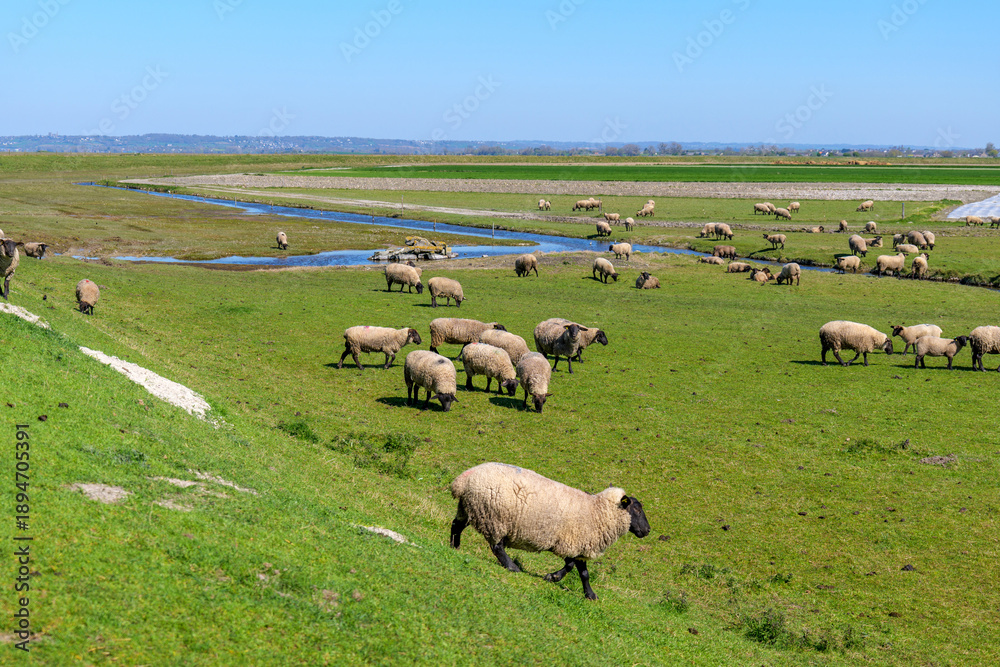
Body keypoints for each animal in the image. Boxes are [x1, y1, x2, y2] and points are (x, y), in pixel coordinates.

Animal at [448, 462, 650, 599]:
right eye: (637, 509)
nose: (647, 530)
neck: (597, 510)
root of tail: (463, 480)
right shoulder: (571, 542)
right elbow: (572, 567)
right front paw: (553, 577)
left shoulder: (578, 545)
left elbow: (582, 572)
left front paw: (588, 594)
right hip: (494, 516)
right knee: (497, 546)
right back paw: (512, 567)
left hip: (468, 508)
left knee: (456, 526)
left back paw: (454, 547)